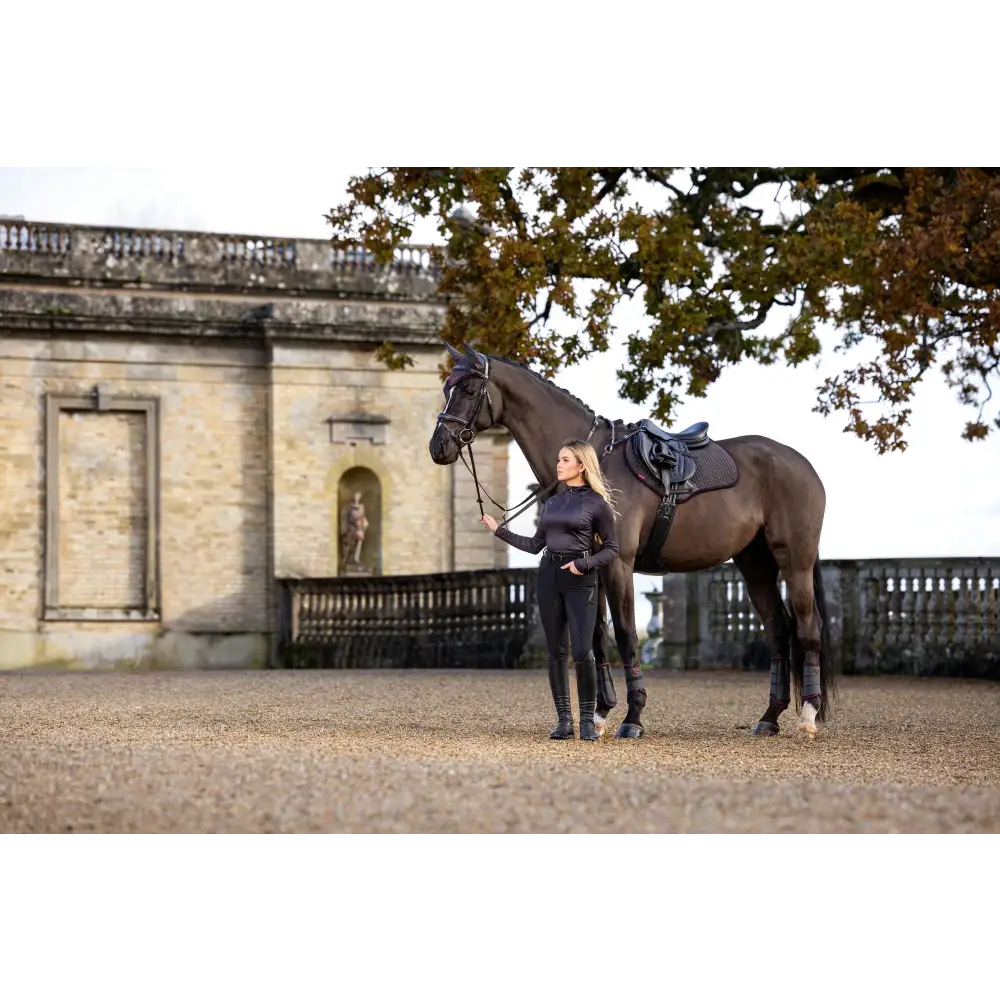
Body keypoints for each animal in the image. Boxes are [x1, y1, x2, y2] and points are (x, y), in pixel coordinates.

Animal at [426, 344, 832, 744]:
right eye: (446, 386)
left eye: (469, 390)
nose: (438, 447)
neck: (594, 469)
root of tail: (800, 463)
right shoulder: (588, 568)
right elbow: (595, 636)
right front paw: (600, 713)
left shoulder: (617, 564)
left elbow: (624, 634)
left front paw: (632, 717)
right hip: (755, 564)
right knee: (778, 629)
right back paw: (770, 717)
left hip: (793, 561)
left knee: (807, 628)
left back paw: (808, 716)